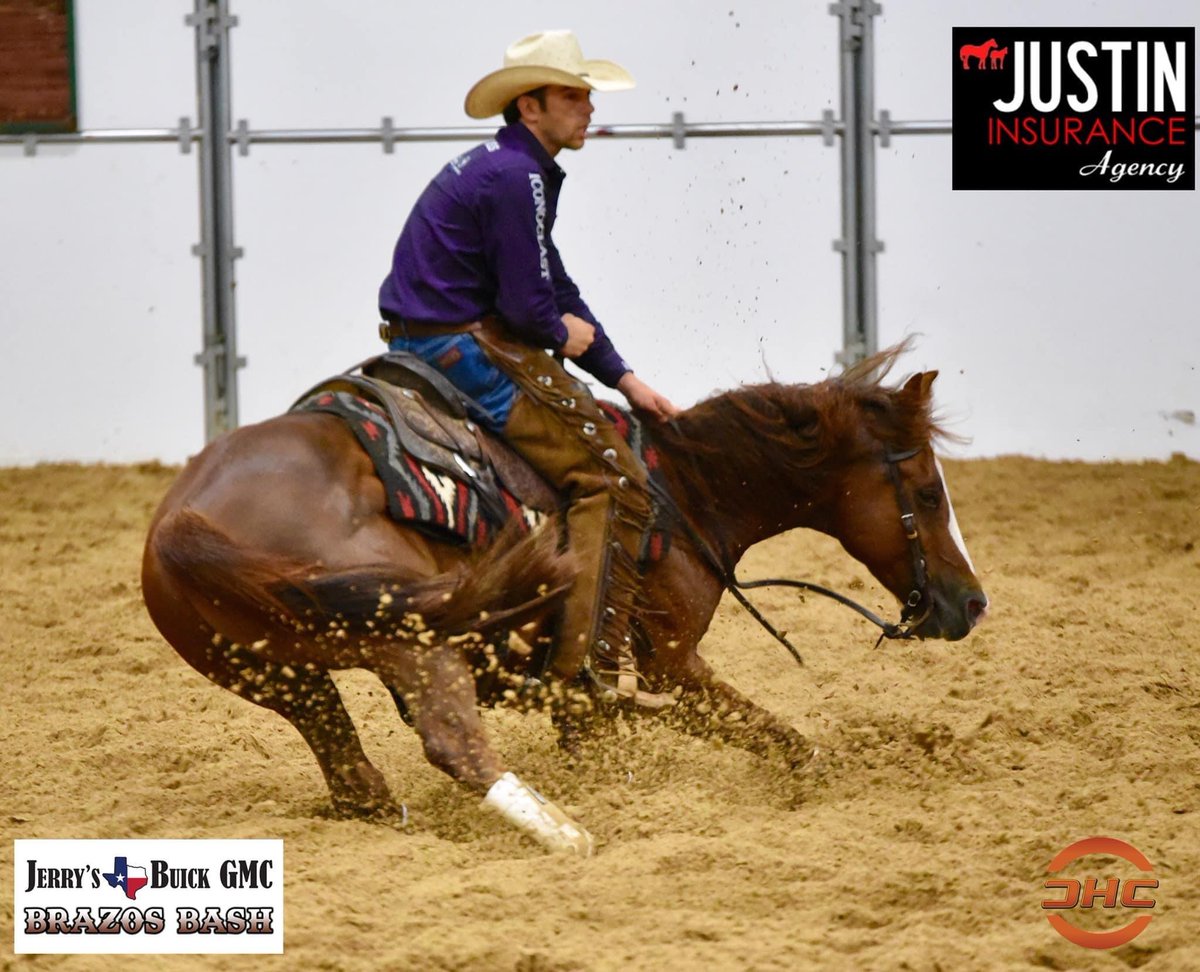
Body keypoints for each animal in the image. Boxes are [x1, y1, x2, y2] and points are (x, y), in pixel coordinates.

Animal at [141, 344, 987, 855]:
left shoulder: (588, 689)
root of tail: (182, 520)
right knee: (455, 744)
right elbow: (778, 736)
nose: (972, 603)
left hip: (281, 677)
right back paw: (574, 838)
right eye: (926, 491)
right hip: (409, 641)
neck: (683, 489)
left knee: (353, 773)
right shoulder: (667, 664)